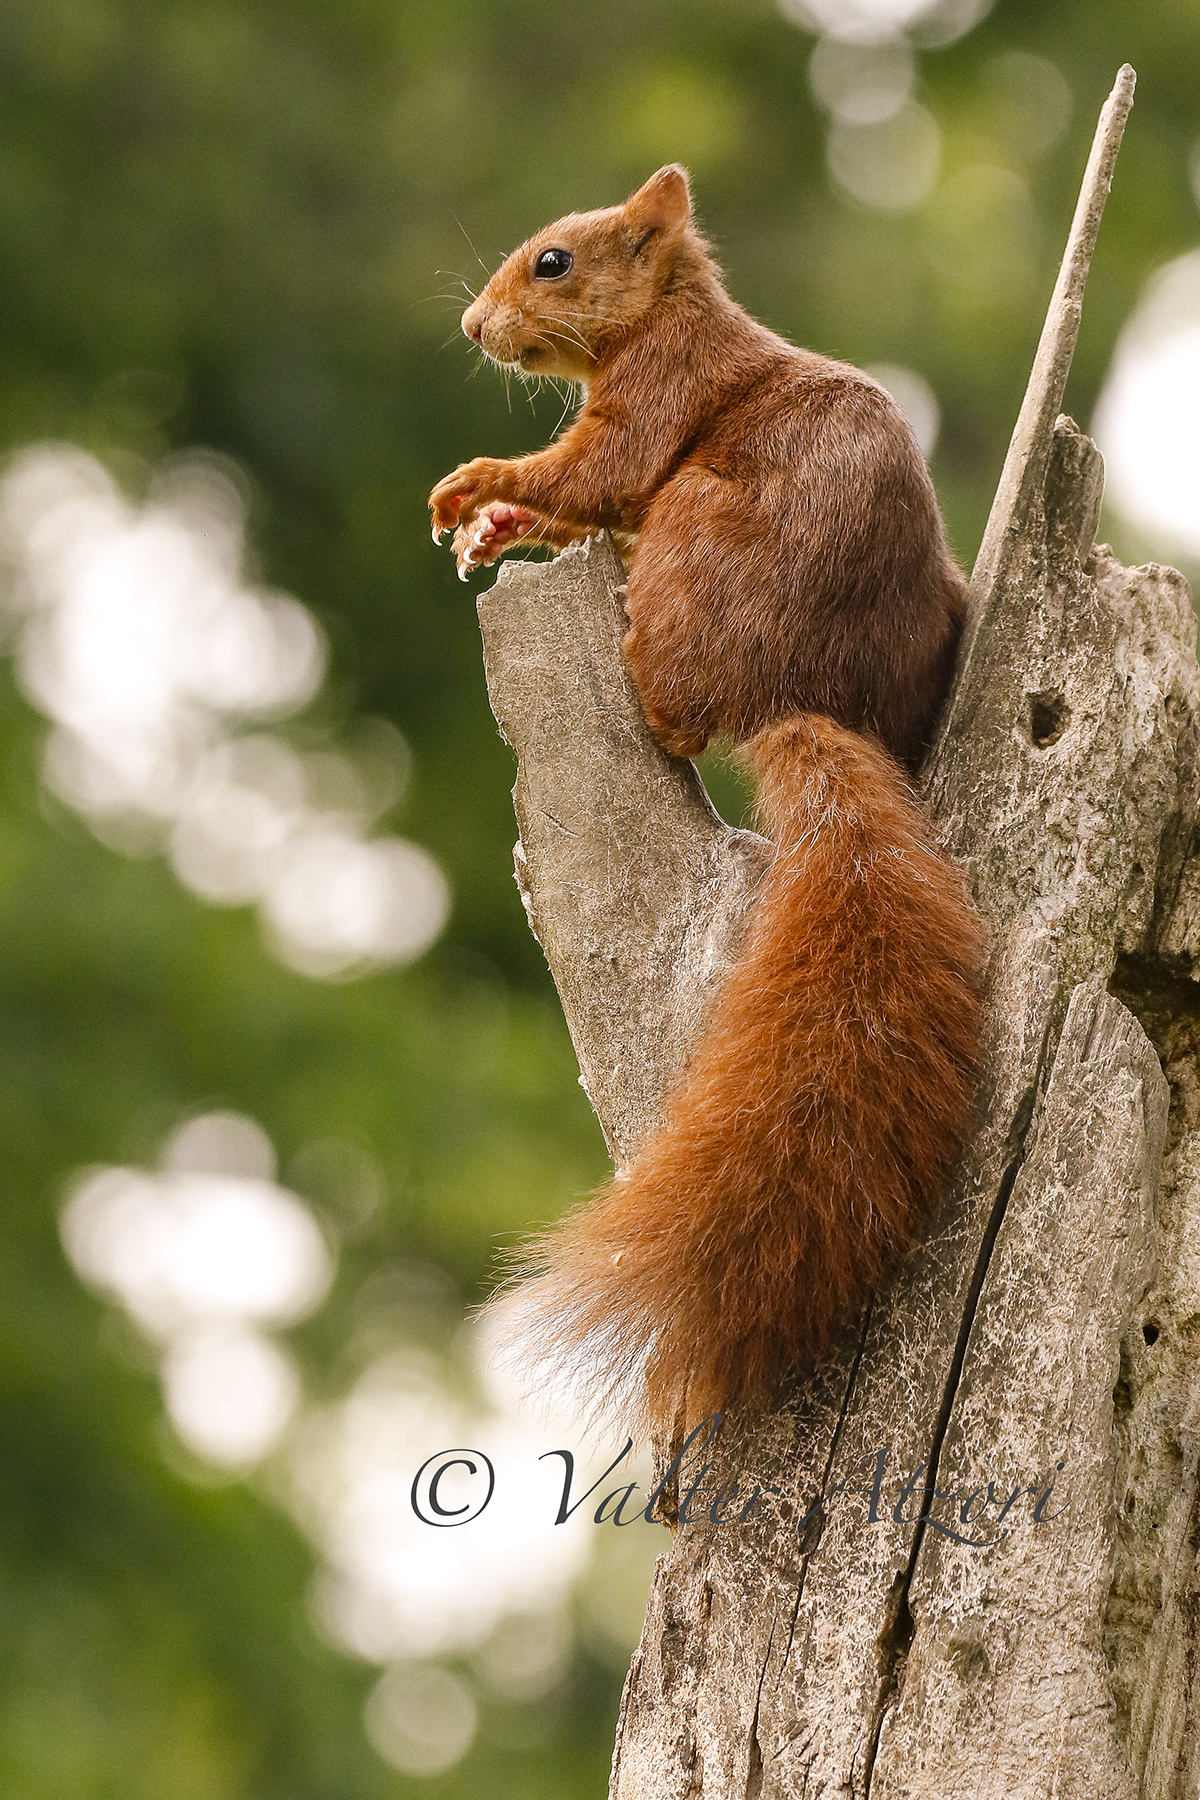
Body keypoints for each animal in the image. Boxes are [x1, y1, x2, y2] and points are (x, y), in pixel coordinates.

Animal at [430, 165, 984, 1439]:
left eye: (554, 261)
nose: (474, 328)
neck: (672, 314)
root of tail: (786, 695)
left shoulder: (657, 395)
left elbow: (594, 474)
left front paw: (479, 489)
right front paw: (492, 525)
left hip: (694, 525)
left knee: (672, 702)